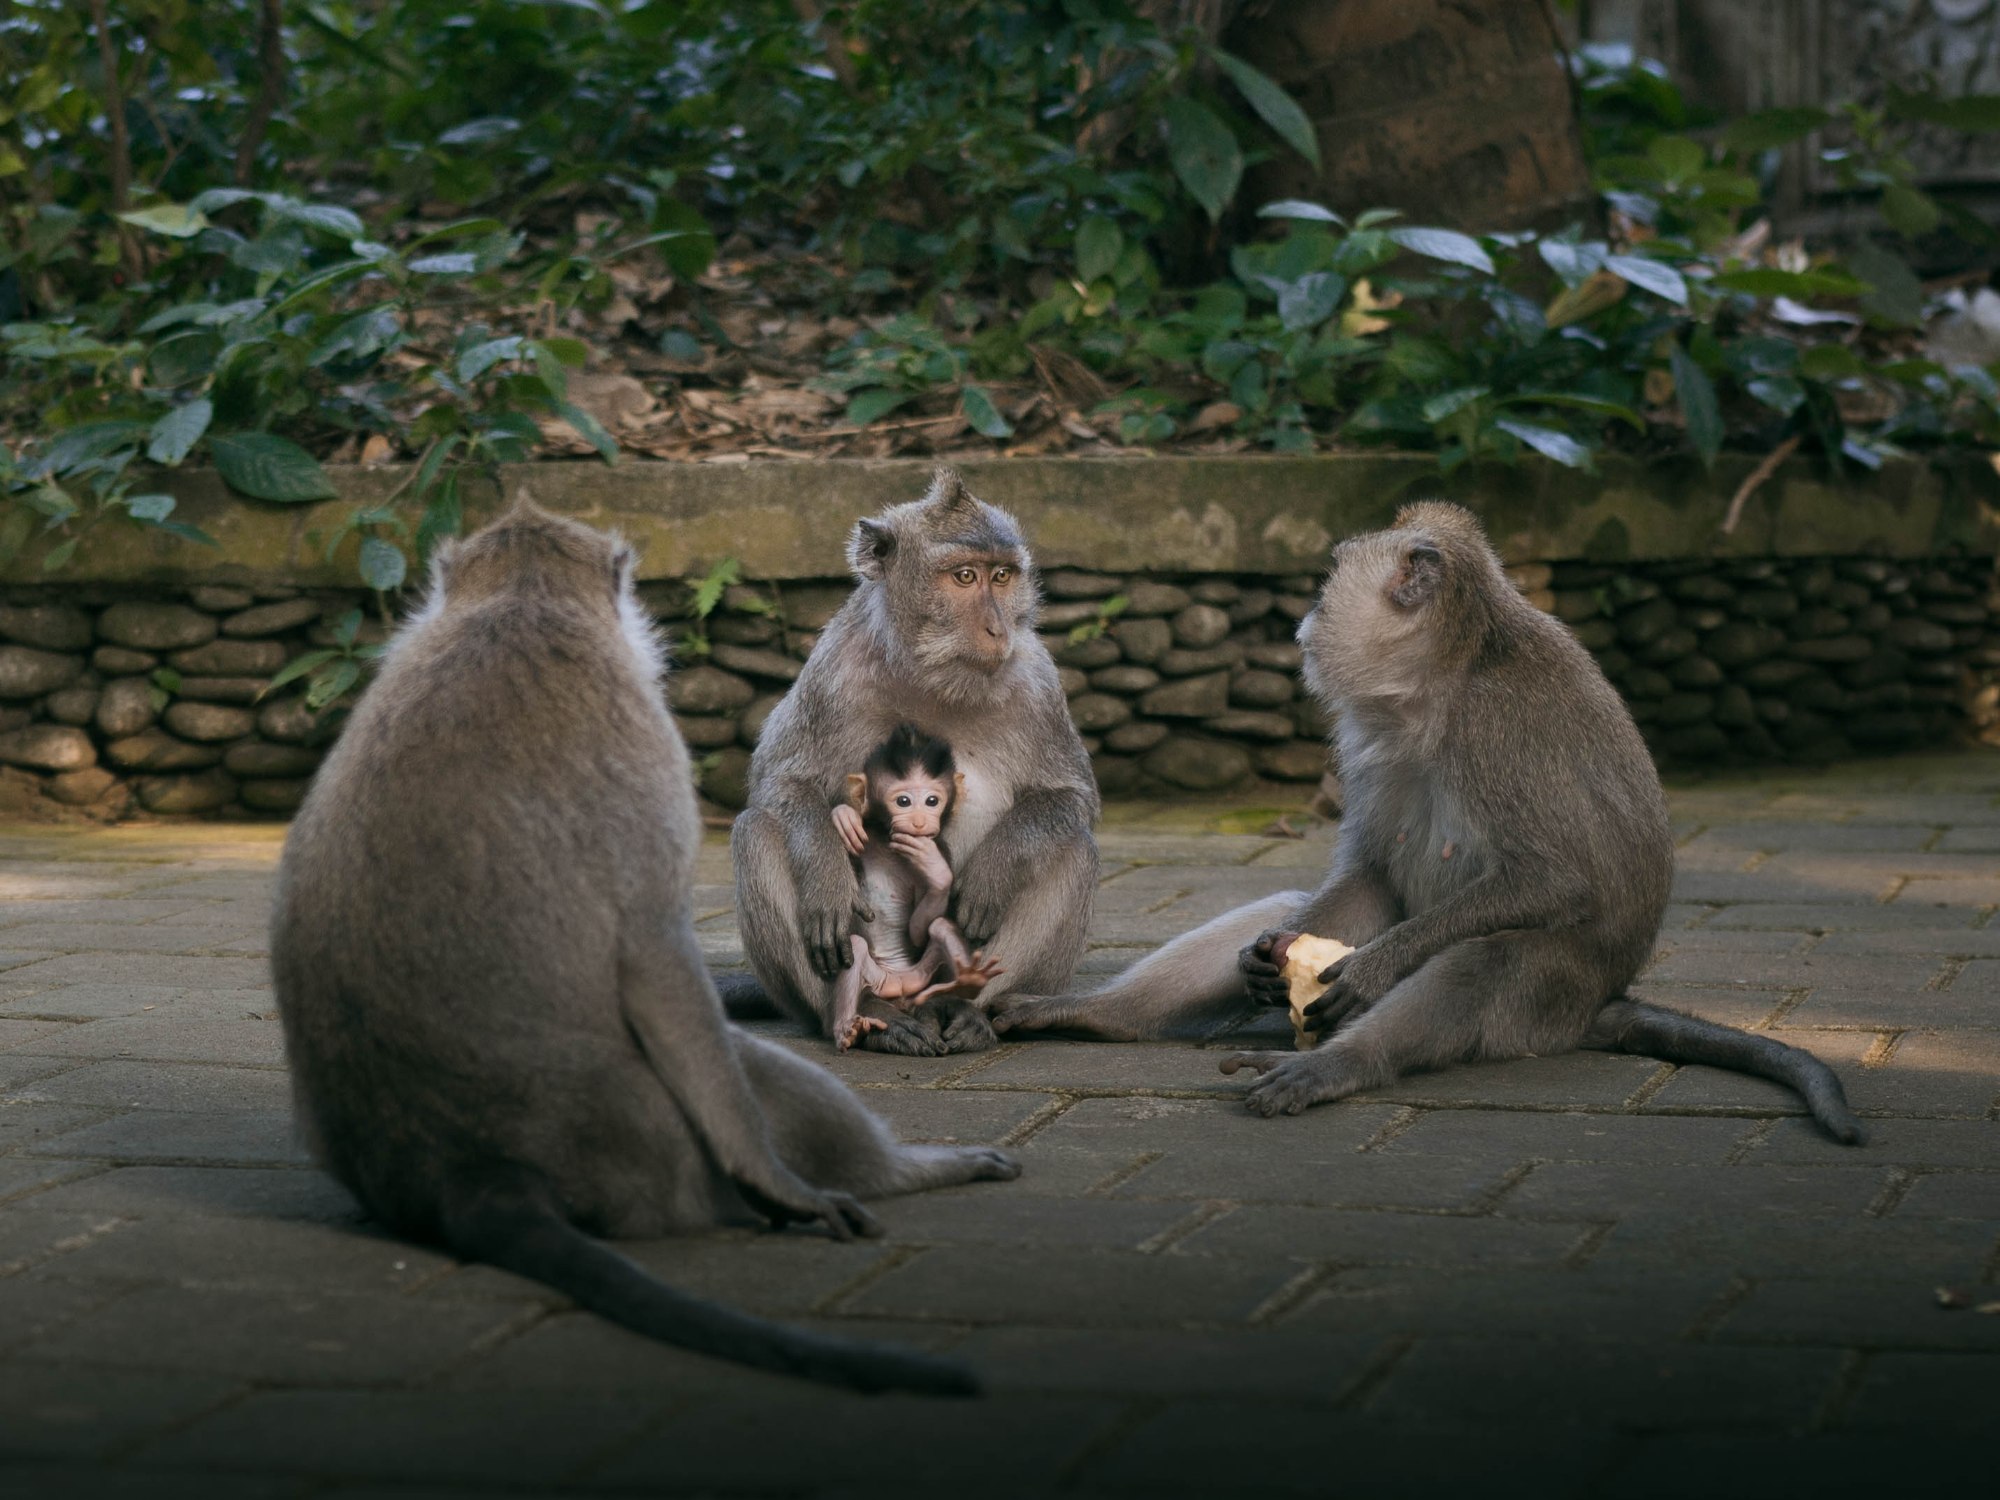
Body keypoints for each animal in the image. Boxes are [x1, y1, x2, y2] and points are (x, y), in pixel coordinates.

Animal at [829, 724, 1003, 1052]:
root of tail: (899, 983)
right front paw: (844, 815)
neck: (888, 845)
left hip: (922, 978)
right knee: (856, 946)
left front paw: (933, 869)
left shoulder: (942, 847)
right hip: (878, 979)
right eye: (904, 802)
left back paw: (968, 982)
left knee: (941, 926)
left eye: (932, 801)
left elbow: (919, 931)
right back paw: (846, 1028)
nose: (921, 823)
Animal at [992, 501, 1864, 1146]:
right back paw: (1096, 1015)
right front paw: (1263, 960)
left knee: (1489, 960)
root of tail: (1601, 1002)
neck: (1441, 681)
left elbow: (1555, 880)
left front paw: (1378, 968)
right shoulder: (1366, 738)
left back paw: (1339, 1067)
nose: (1304, 618)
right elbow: (1366, 875)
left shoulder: (1497, 726)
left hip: (1546, 1003)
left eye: (1327, 582)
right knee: (1295, 908)